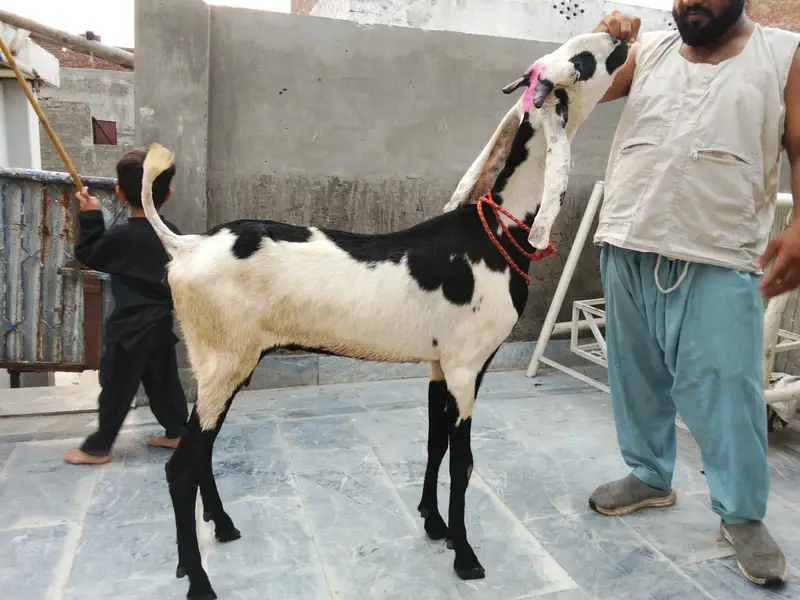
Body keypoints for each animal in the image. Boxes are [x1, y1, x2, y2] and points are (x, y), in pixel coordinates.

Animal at [144, 32, 629, 600]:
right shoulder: (466, 365)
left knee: (201, 451)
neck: (495, 233)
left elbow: (435, 443)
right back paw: (199, 579)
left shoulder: (442, 364)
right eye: (584, 60)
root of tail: (187, 246)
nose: (622, 37)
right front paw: (466, 555)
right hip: (225, 360)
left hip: (225, 364)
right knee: (181, 465)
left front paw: (434, 524)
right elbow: (463, 462)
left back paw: (222, 527)